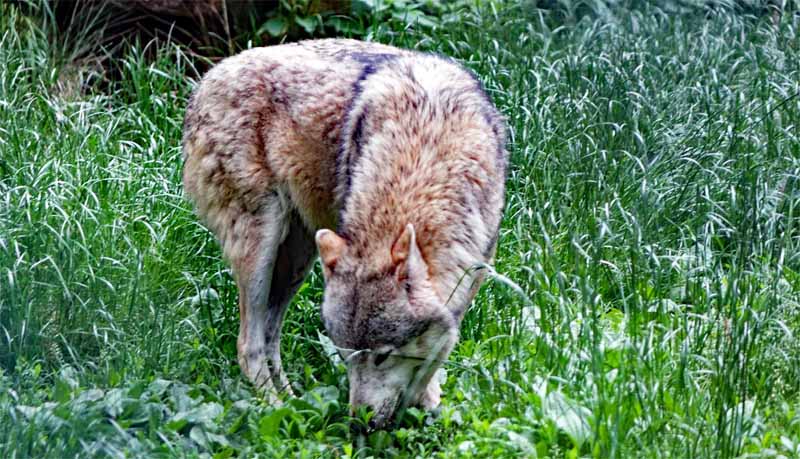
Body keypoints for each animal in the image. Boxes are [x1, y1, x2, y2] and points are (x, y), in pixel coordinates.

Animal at [182, 38, 507, 428]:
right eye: (345, 354)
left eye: (381, 356)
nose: (358, 421)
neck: (429, 146)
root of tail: (205, 80)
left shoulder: (472, 273)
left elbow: (437, 351)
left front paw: (426, 407)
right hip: (261, 249)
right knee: (248, 344)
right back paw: (277, 410)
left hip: (298, 259)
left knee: (270, 337)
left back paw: (295, 402)